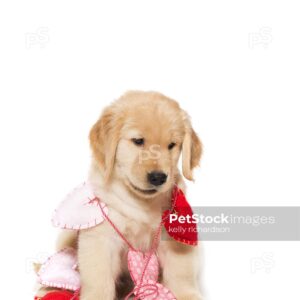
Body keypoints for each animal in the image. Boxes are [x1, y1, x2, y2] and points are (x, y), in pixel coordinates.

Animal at [57, 91, 203, 300]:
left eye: (172, 145)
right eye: (138, 141)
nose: (158, 177)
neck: (142, 204)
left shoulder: (174, 238)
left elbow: (181, 273)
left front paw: (186, 295)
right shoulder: (100, 238)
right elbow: (99, 279)